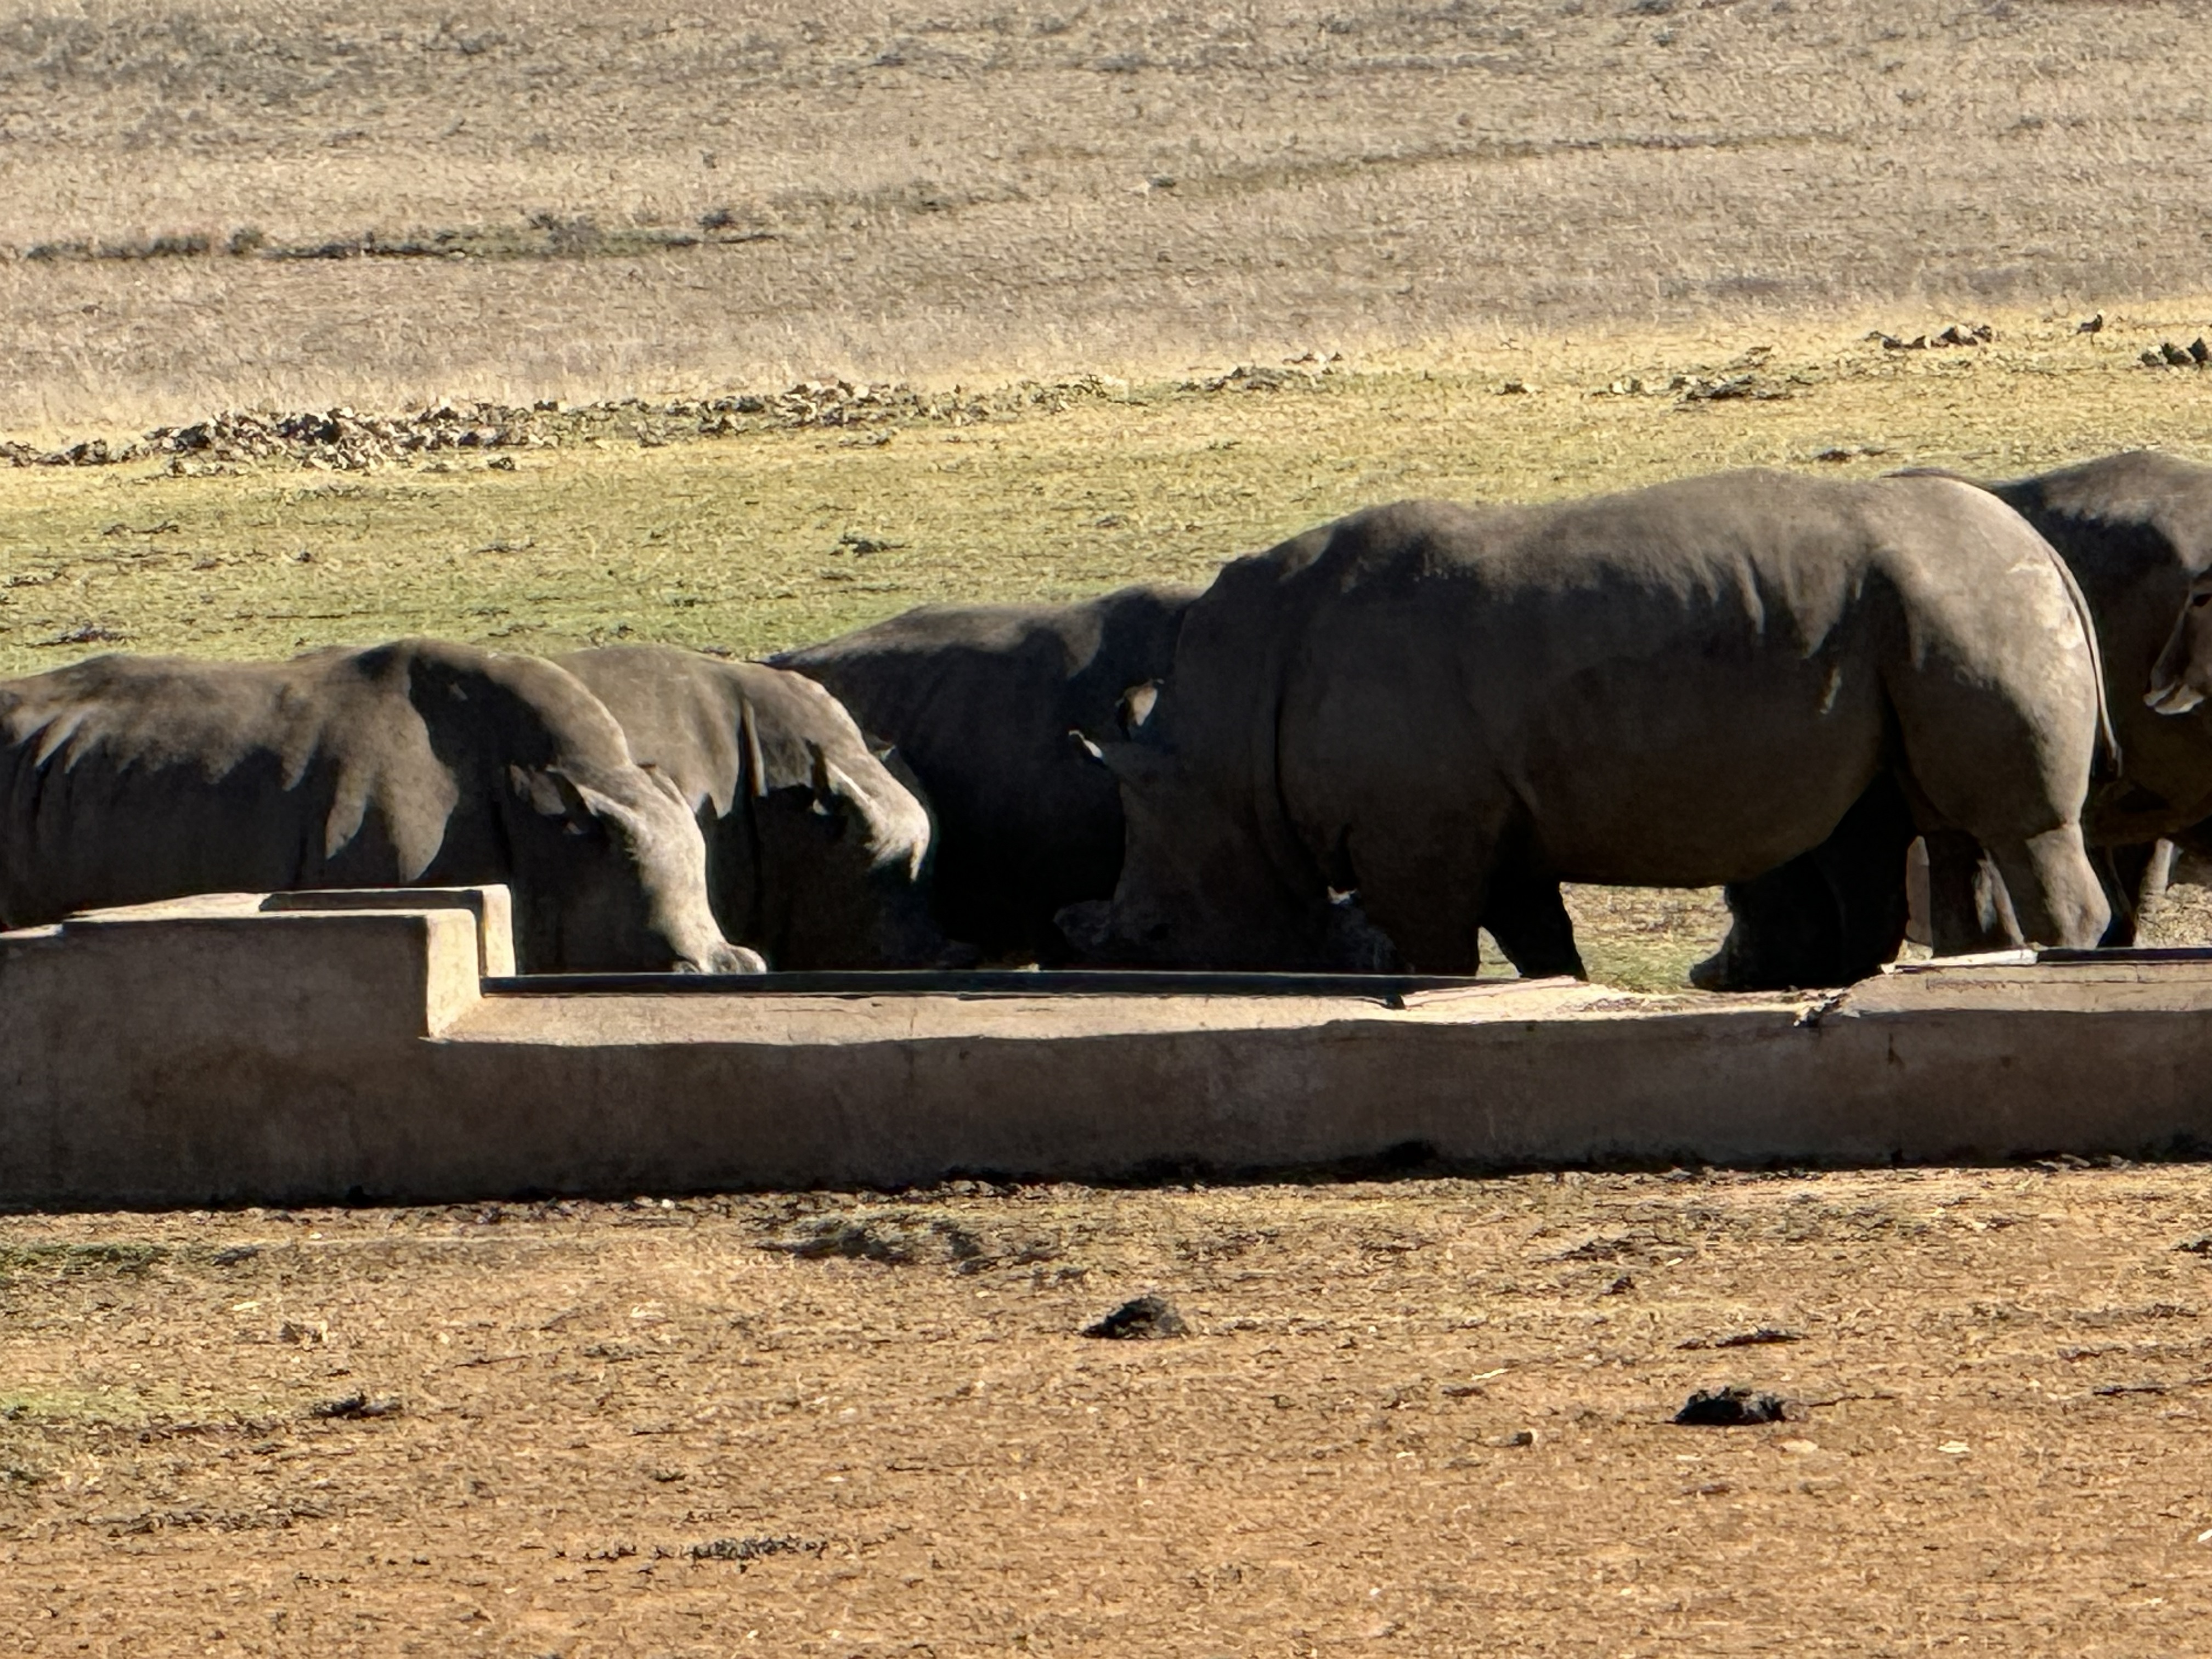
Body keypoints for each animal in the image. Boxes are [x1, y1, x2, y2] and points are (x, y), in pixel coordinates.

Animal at [1063, 471, 2114, 974]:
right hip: (1930, 609)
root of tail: (2044, 550)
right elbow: (1541, 945)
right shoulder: (1492, 824)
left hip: (1973, 601)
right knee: (1934, 828)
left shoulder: (1421, 839)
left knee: (2015, 827)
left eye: (1155, 929)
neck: (1220, 749)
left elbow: (1441, 952)